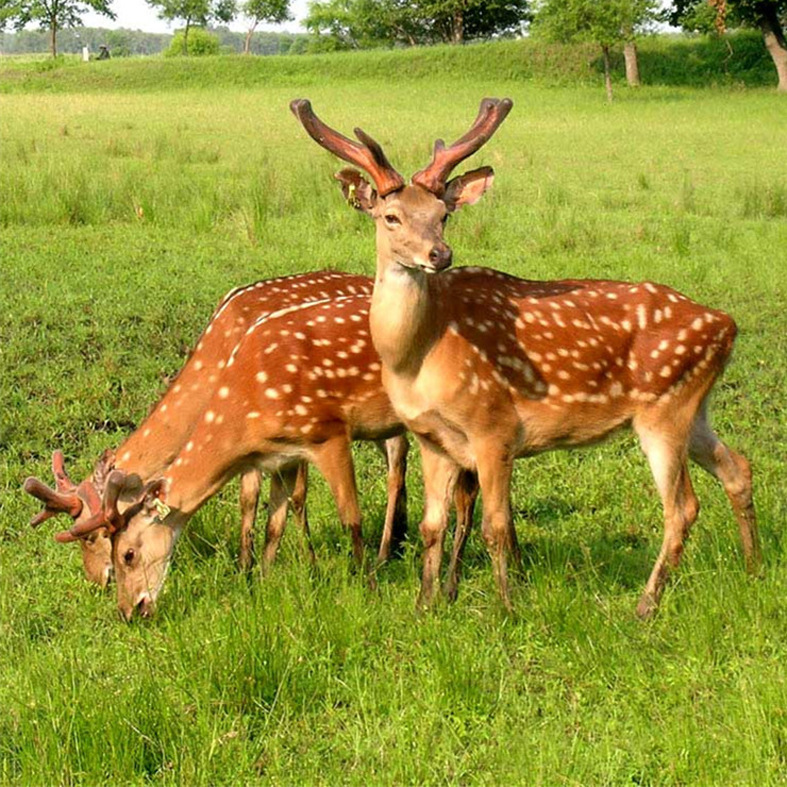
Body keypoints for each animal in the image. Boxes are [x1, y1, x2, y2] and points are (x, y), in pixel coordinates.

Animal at [23, 270, 410, 584]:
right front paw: (245, 568)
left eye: (92, 535)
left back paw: (384, 553)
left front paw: (308, 564)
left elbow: (292, 496)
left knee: (397, 463)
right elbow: (251, 499)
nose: (96, 580)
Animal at [290, 97, 764, 616]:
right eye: (390, 216)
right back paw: (753, 569)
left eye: (443, 214)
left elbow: (495, 526)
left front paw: (506, 607)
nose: (439, 254)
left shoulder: (493, 426)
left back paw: (645, 606)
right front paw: (425, 605)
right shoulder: (432, 438)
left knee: (681, 507)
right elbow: (432, 527)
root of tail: (726, 323)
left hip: (665, 410)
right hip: (694, 407)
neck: (417, 357)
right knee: (738, 468)